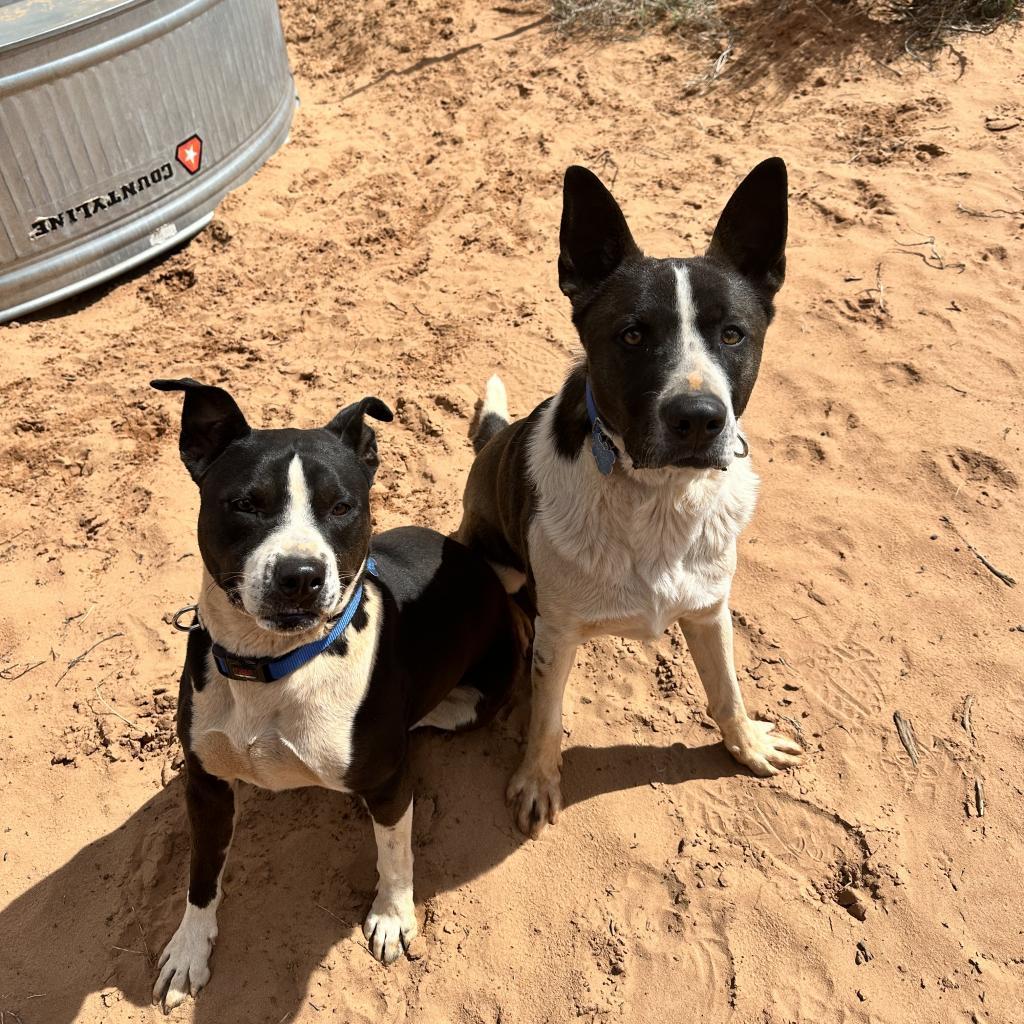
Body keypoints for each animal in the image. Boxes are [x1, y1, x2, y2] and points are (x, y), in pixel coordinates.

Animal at [149, 380, 520, 1011]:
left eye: (342, 507)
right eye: (246, 504)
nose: (300, 575)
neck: (274, 664)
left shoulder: (390, 782)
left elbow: (394, 852)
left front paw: (393, 917)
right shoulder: (206, 783)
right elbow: (201, 873)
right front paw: (189, 948)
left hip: (473, 700)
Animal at [460, 155, 802, 835]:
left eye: (733, 334)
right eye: (634, 335)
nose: (698, 418)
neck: (659, 499)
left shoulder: (710, 609)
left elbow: (727, 688)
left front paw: (746, 744)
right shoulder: (560, 631)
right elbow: (546, 718)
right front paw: (537, 779)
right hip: (494, 560)